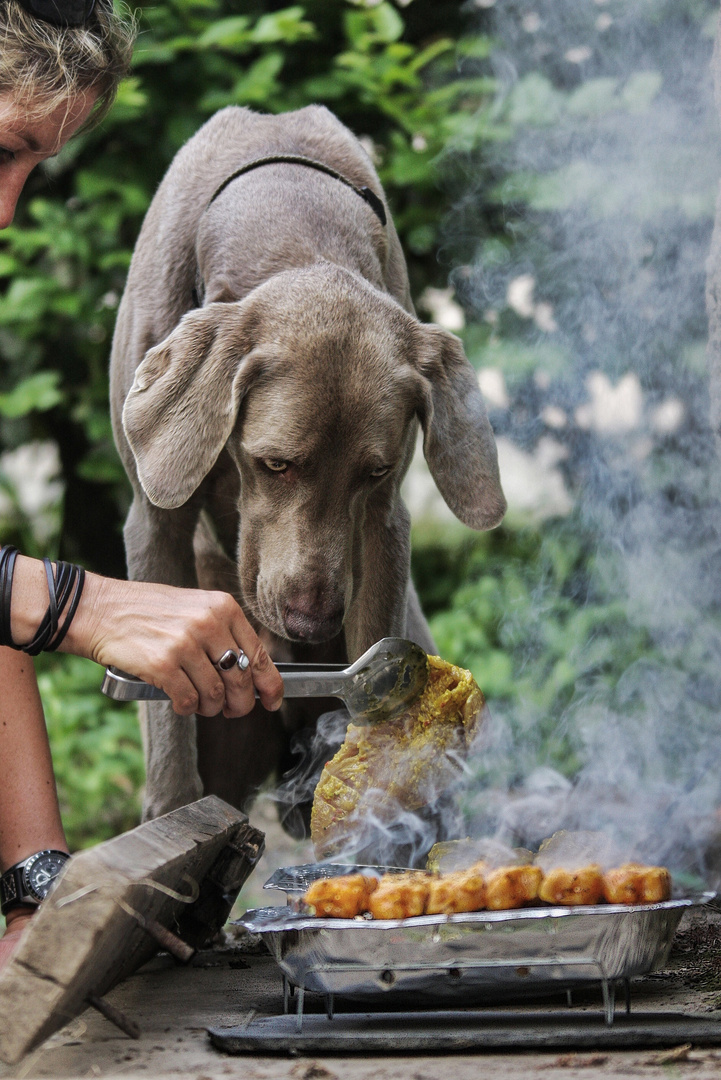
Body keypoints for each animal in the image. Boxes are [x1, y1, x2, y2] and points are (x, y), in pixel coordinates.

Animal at [111, 103, 507, 825]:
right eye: (274, 463)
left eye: (373, 473)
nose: (311, 626)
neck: (291, 219)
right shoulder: (154, 519)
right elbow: (168, 724)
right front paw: (172, 804)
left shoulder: (384, 524)